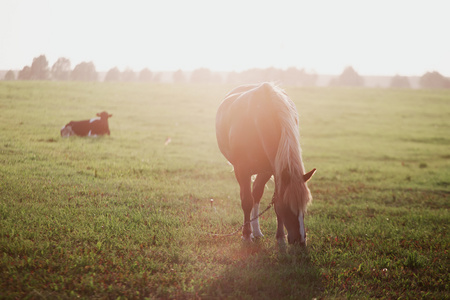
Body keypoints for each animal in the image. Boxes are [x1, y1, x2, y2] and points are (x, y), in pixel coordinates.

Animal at [215, 81, 316, 244]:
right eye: (288, 206)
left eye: (305, 205)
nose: (300, 240)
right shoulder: (241, 170)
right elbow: (246, 201)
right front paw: (246, 235)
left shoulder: (273, 170)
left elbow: (272, 201)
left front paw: (280, 236)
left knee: (257, 193)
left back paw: (256, 231)